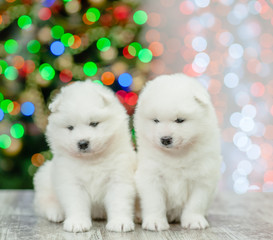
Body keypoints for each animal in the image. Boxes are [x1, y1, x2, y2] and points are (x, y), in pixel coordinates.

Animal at [33, 80, 135, 232]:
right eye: (70, 127)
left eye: (94, 123)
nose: (82, 143)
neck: (91, 160)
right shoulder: (72, 182)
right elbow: (76, 204)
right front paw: (77, 223)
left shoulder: (119, 178)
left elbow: (119, 202)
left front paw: (120, 223)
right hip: (44, 177)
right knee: (45, 202)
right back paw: (56, 213)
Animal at [133, 73, 221, 231]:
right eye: (156, 120)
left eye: (180, 120)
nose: (165, 139)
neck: (176, 155)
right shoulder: (151, 176)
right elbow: (154, 202)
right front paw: (155, 222)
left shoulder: (203, 178)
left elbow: (196, 203)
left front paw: (194, 221)